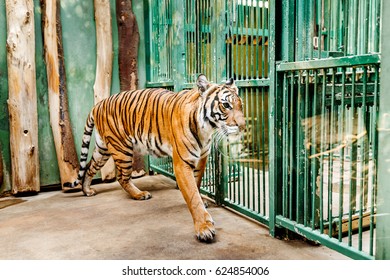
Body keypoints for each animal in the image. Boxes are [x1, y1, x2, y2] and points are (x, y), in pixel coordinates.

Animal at [65, 75, 245, 243]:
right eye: (226, 105)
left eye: (240, 105)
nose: (243, 126)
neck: (207, 129)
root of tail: (99, 104)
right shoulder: (182, 163)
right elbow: (192, 195)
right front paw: (204, 228)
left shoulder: (201, 158)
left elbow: (197, 183)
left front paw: (203, 203)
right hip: (122, 149)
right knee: (121, 177)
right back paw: (139, 194)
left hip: (103, 149)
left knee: (89, 167)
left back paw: (87, 191)